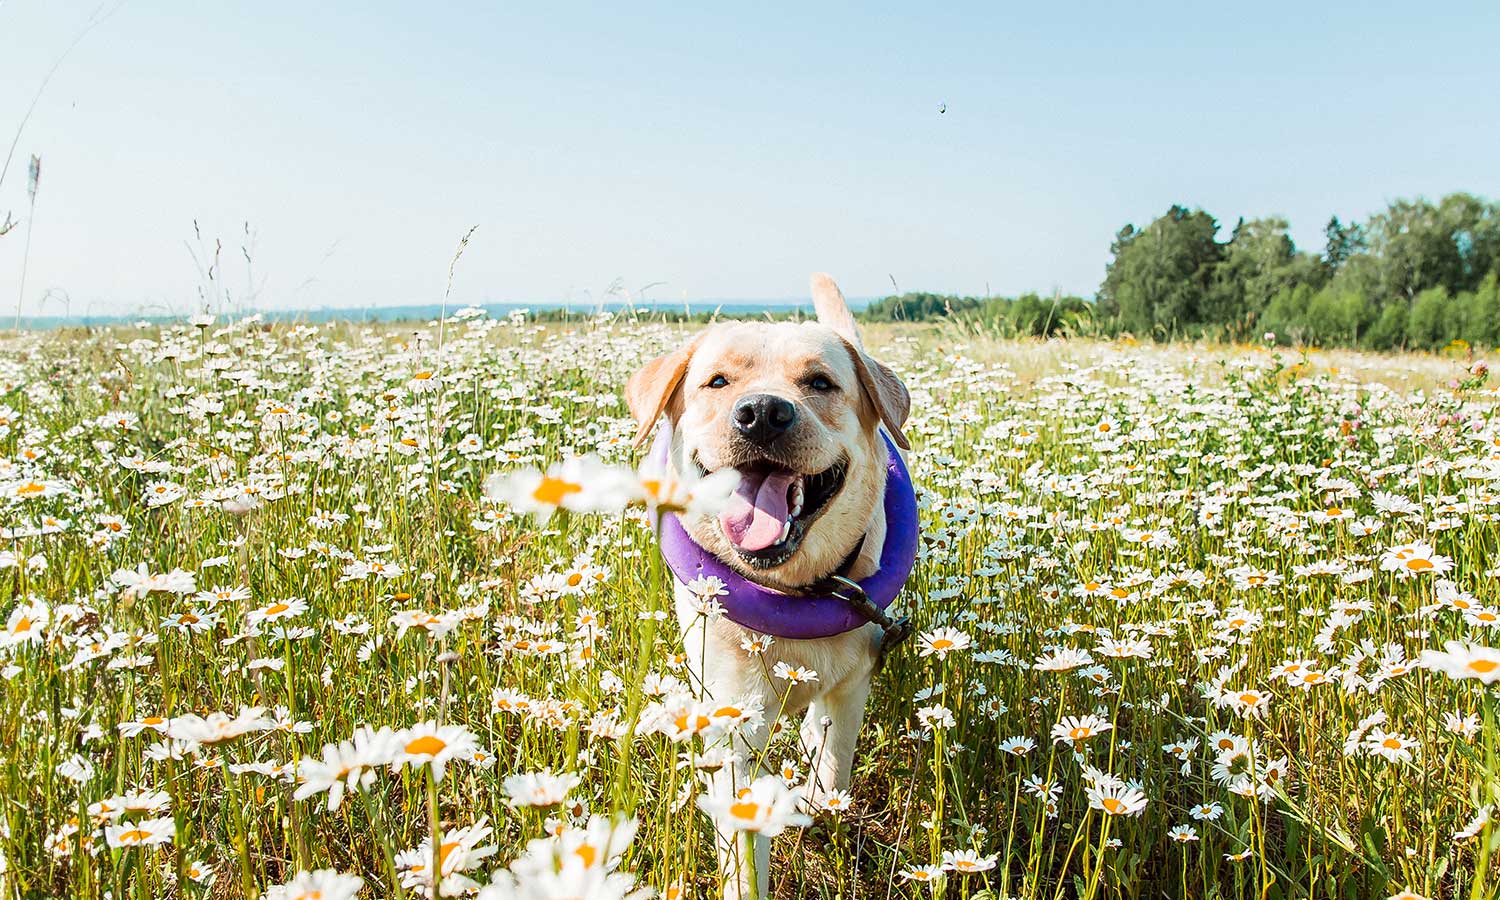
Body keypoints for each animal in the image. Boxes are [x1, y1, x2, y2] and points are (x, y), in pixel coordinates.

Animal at [624, 273, 912, 894]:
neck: (795, 591)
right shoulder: (732, 731)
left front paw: (818, 805)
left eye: (820, 382)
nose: (761, 412)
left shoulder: (850, 688)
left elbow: (833, 766)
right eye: (718, 381)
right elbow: (741, 852)